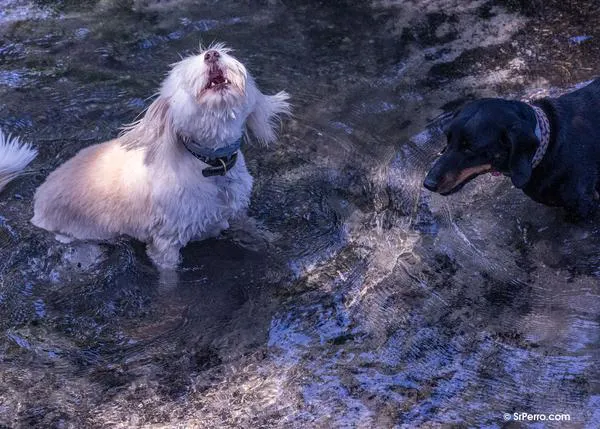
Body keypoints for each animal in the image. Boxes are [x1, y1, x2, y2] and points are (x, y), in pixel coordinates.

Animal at [30, 45, 290, 270]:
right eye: (184, 74)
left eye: (222, 52)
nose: (212, 54)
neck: (212, 164)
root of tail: (39, 197)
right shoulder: (165, 243)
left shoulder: (235, 211)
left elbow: (251, 228)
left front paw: (272, 239)